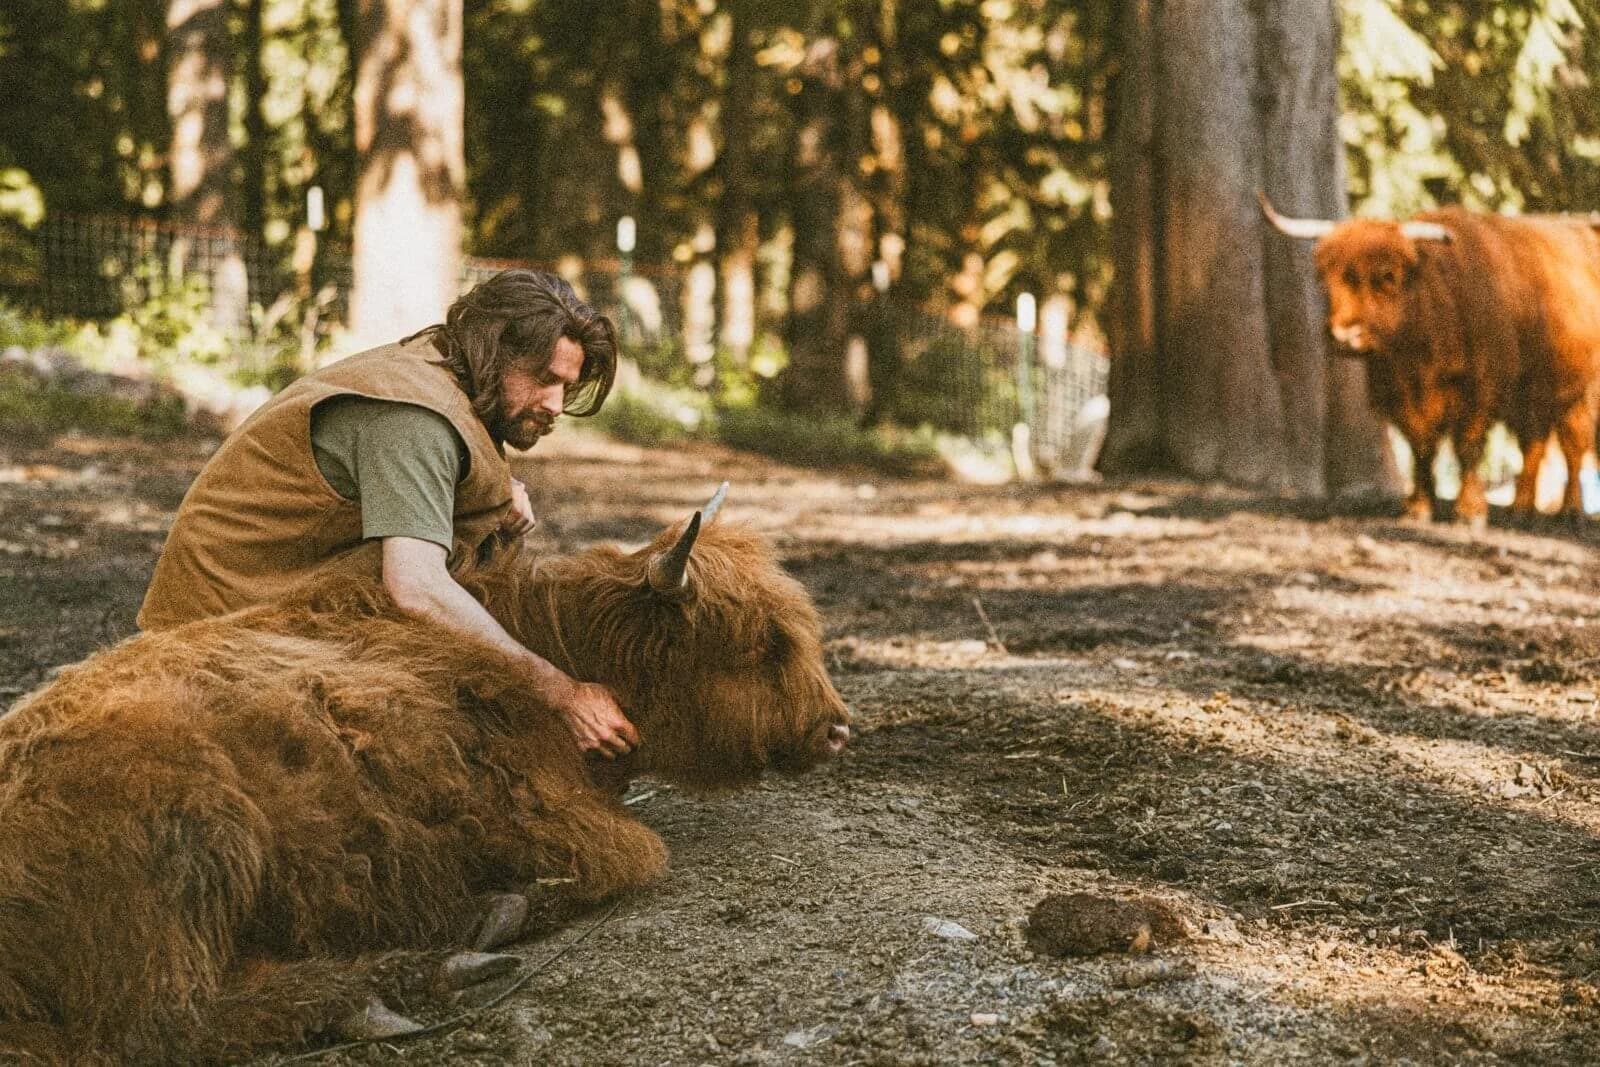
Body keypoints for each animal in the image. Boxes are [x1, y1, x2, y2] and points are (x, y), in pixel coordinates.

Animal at [0, 486, 851, 1065]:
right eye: (760, 642)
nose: (837, 726)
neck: (551, 638)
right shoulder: (561, 819)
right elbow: (635, 856)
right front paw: (504, 905)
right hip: (201, 841)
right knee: (162, 1024)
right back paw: (405, 976)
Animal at [1261, 193, 1600, 526]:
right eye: (1324, 278)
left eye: (1387, 275)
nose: (1343, 335)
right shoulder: (1402, 396)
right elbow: (1421, 447)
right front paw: (1418, 507)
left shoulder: (1479, 390)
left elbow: (1467, 446)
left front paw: (1470, 511)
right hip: (1533, 394)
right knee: (1534, 441)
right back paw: (1520, 510)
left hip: (1580, 392)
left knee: (1573, 444)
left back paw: (1570, 512)